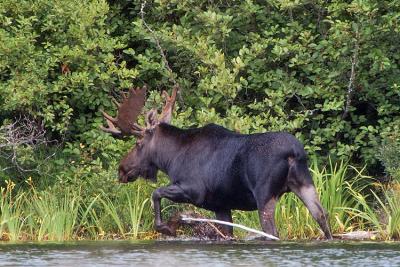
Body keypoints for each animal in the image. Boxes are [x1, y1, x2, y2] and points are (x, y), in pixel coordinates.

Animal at [101, 86, 332, 241]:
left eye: (138, 143)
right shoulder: (221, 205)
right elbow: (226, 233)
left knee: (272, 232)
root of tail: (294, 153)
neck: (170, 159)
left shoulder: (194, 190)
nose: (122, 169)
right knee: (322, 217)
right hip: (305, 183)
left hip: (264, 194)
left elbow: (156, 193)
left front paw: (167, 227)